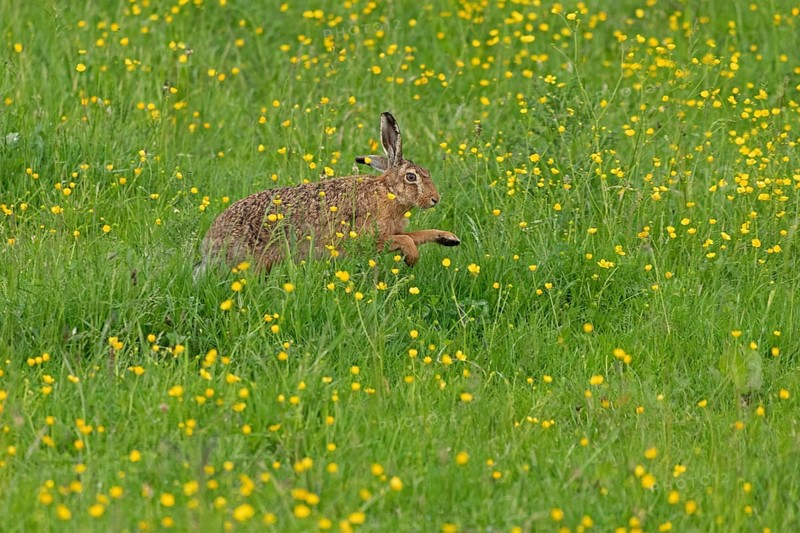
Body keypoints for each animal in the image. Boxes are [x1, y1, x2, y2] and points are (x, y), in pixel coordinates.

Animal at [195, 112, 460, 276]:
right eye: (411, 177)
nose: (435, 199)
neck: (388, 192)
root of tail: (208, 248)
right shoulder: (367, 237)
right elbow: (405, 239)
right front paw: (412, 258)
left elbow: (416, 235)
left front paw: (449, 239)